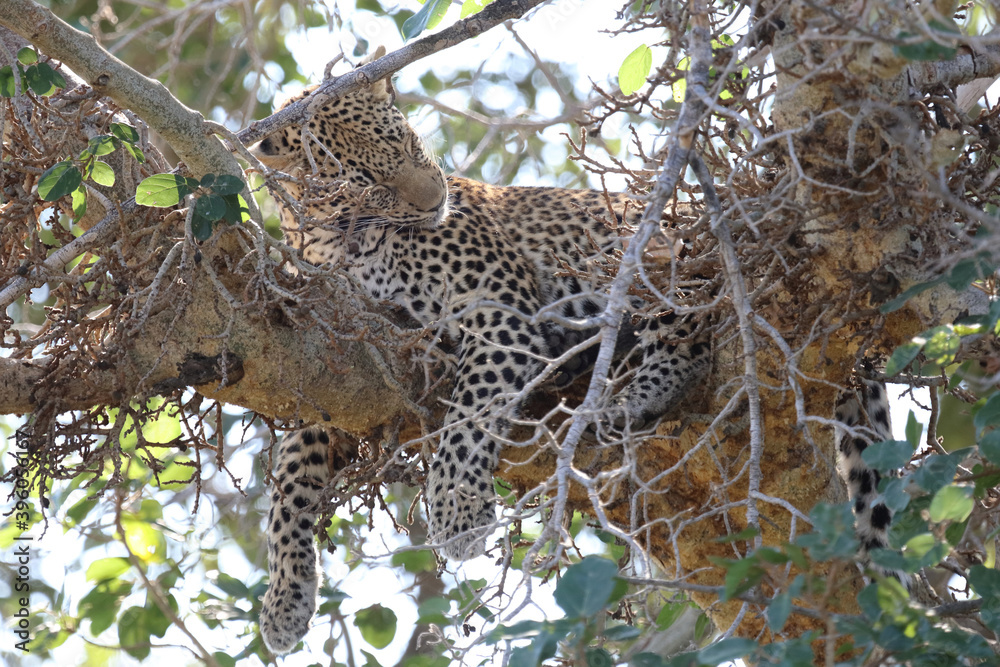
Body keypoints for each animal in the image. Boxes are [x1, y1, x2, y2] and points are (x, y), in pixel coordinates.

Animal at [248, 47, 905, 653]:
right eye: (365, 181)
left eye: (408, 142)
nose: (437, 199)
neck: (340, 242)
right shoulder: (333, 356)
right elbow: (288, 477)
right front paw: (284, 601)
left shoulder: (500, 312)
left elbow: (469, 413)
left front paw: (458, 514)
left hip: (656, 252)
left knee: (693, 330)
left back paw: (620, 401)